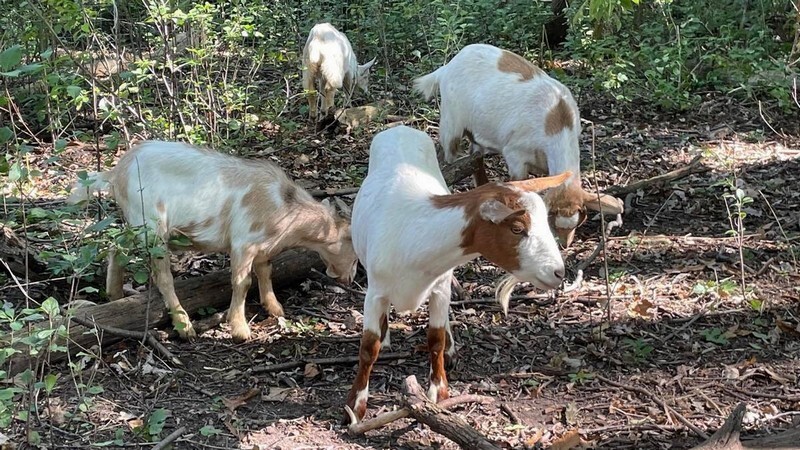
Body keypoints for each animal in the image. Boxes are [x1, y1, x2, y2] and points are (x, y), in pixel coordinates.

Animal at [68, 141, 358, 342]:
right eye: (356, 254)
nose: (349, 279)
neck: (283, 206)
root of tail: (116, 172)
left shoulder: (262, 246)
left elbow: (265, 271)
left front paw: (275, 308)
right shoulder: (243, 243)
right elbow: (243, 282)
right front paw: (240, 329)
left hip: (136, 227)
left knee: (115, 247)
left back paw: (114, 295)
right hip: (151, 225)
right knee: (162, 275)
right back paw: (184, 325)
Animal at [344, 126, 568, 423]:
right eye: (517, 228)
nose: (558, 272)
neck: (416, 237)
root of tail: (401, 128)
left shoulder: (439, 288)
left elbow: (435, 338)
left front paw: (439, 390)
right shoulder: (376, 291)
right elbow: (369, 347)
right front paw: (355, 406)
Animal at [413, 43, 623, 246]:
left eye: (578, 222)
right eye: (553, 222)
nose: (565, 244)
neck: (556, 123)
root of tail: (447, 67)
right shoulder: (515, 154)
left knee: (475, 156)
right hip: (451, 122)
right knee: (446, 155)